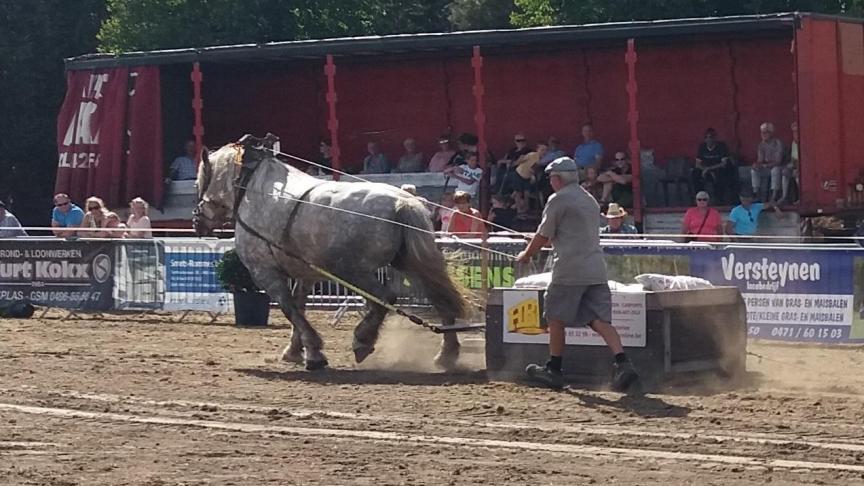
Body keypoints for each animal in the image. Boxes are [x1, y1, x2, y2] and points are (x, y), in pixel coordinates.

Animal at [193, 135, 470, 370]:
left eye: (199, 182)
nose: (197, 220)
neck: (251, 189)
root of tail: (403, 203)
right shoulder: (305, 274)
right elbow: (299, 307)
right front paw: (295, 351)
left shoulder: (265, 272)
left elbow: (289, 308)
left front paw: (314, 352)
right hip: (411, 264)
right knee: (441, 301)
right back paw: (446, 355)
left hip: (353, 271)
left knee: (385, 299)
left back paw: (362, 341)